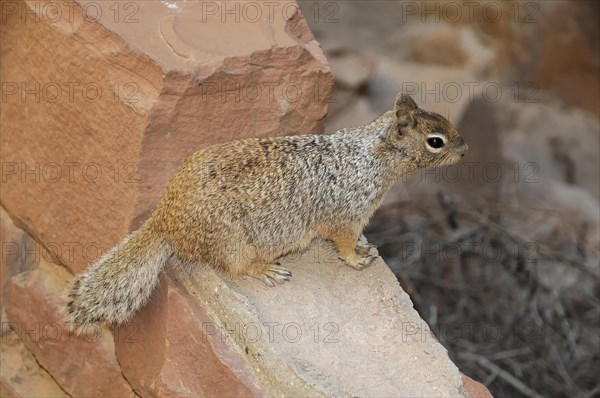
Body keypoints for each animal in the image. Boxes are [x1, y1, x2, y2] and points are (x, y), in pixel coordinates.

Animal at [65, 93, 468, 332]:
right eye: (436, 141)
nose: (465, 150)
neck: (373, 155)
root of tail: (164, 219)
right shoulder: (348, 216)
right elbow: (344, 244)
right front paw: (358, 257)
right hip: (232, 244)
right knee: (236, 267)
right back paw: (267, 270)